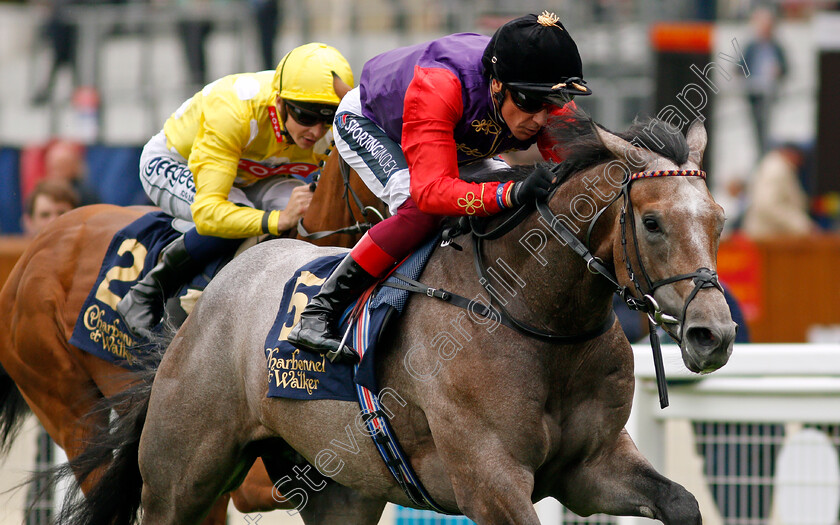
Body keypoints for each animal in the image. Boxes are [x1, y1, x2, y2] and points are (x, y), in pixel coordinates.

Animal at [65, 116, 736, 520]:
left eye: (719, 220)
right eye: (652, 221)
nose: (714, 333)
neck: (537, 318)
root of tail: (210, 302)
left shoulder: (589, 467)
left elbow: (682, 502)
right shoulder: (490, 480)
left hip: (338, 488)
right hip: (182, 475)